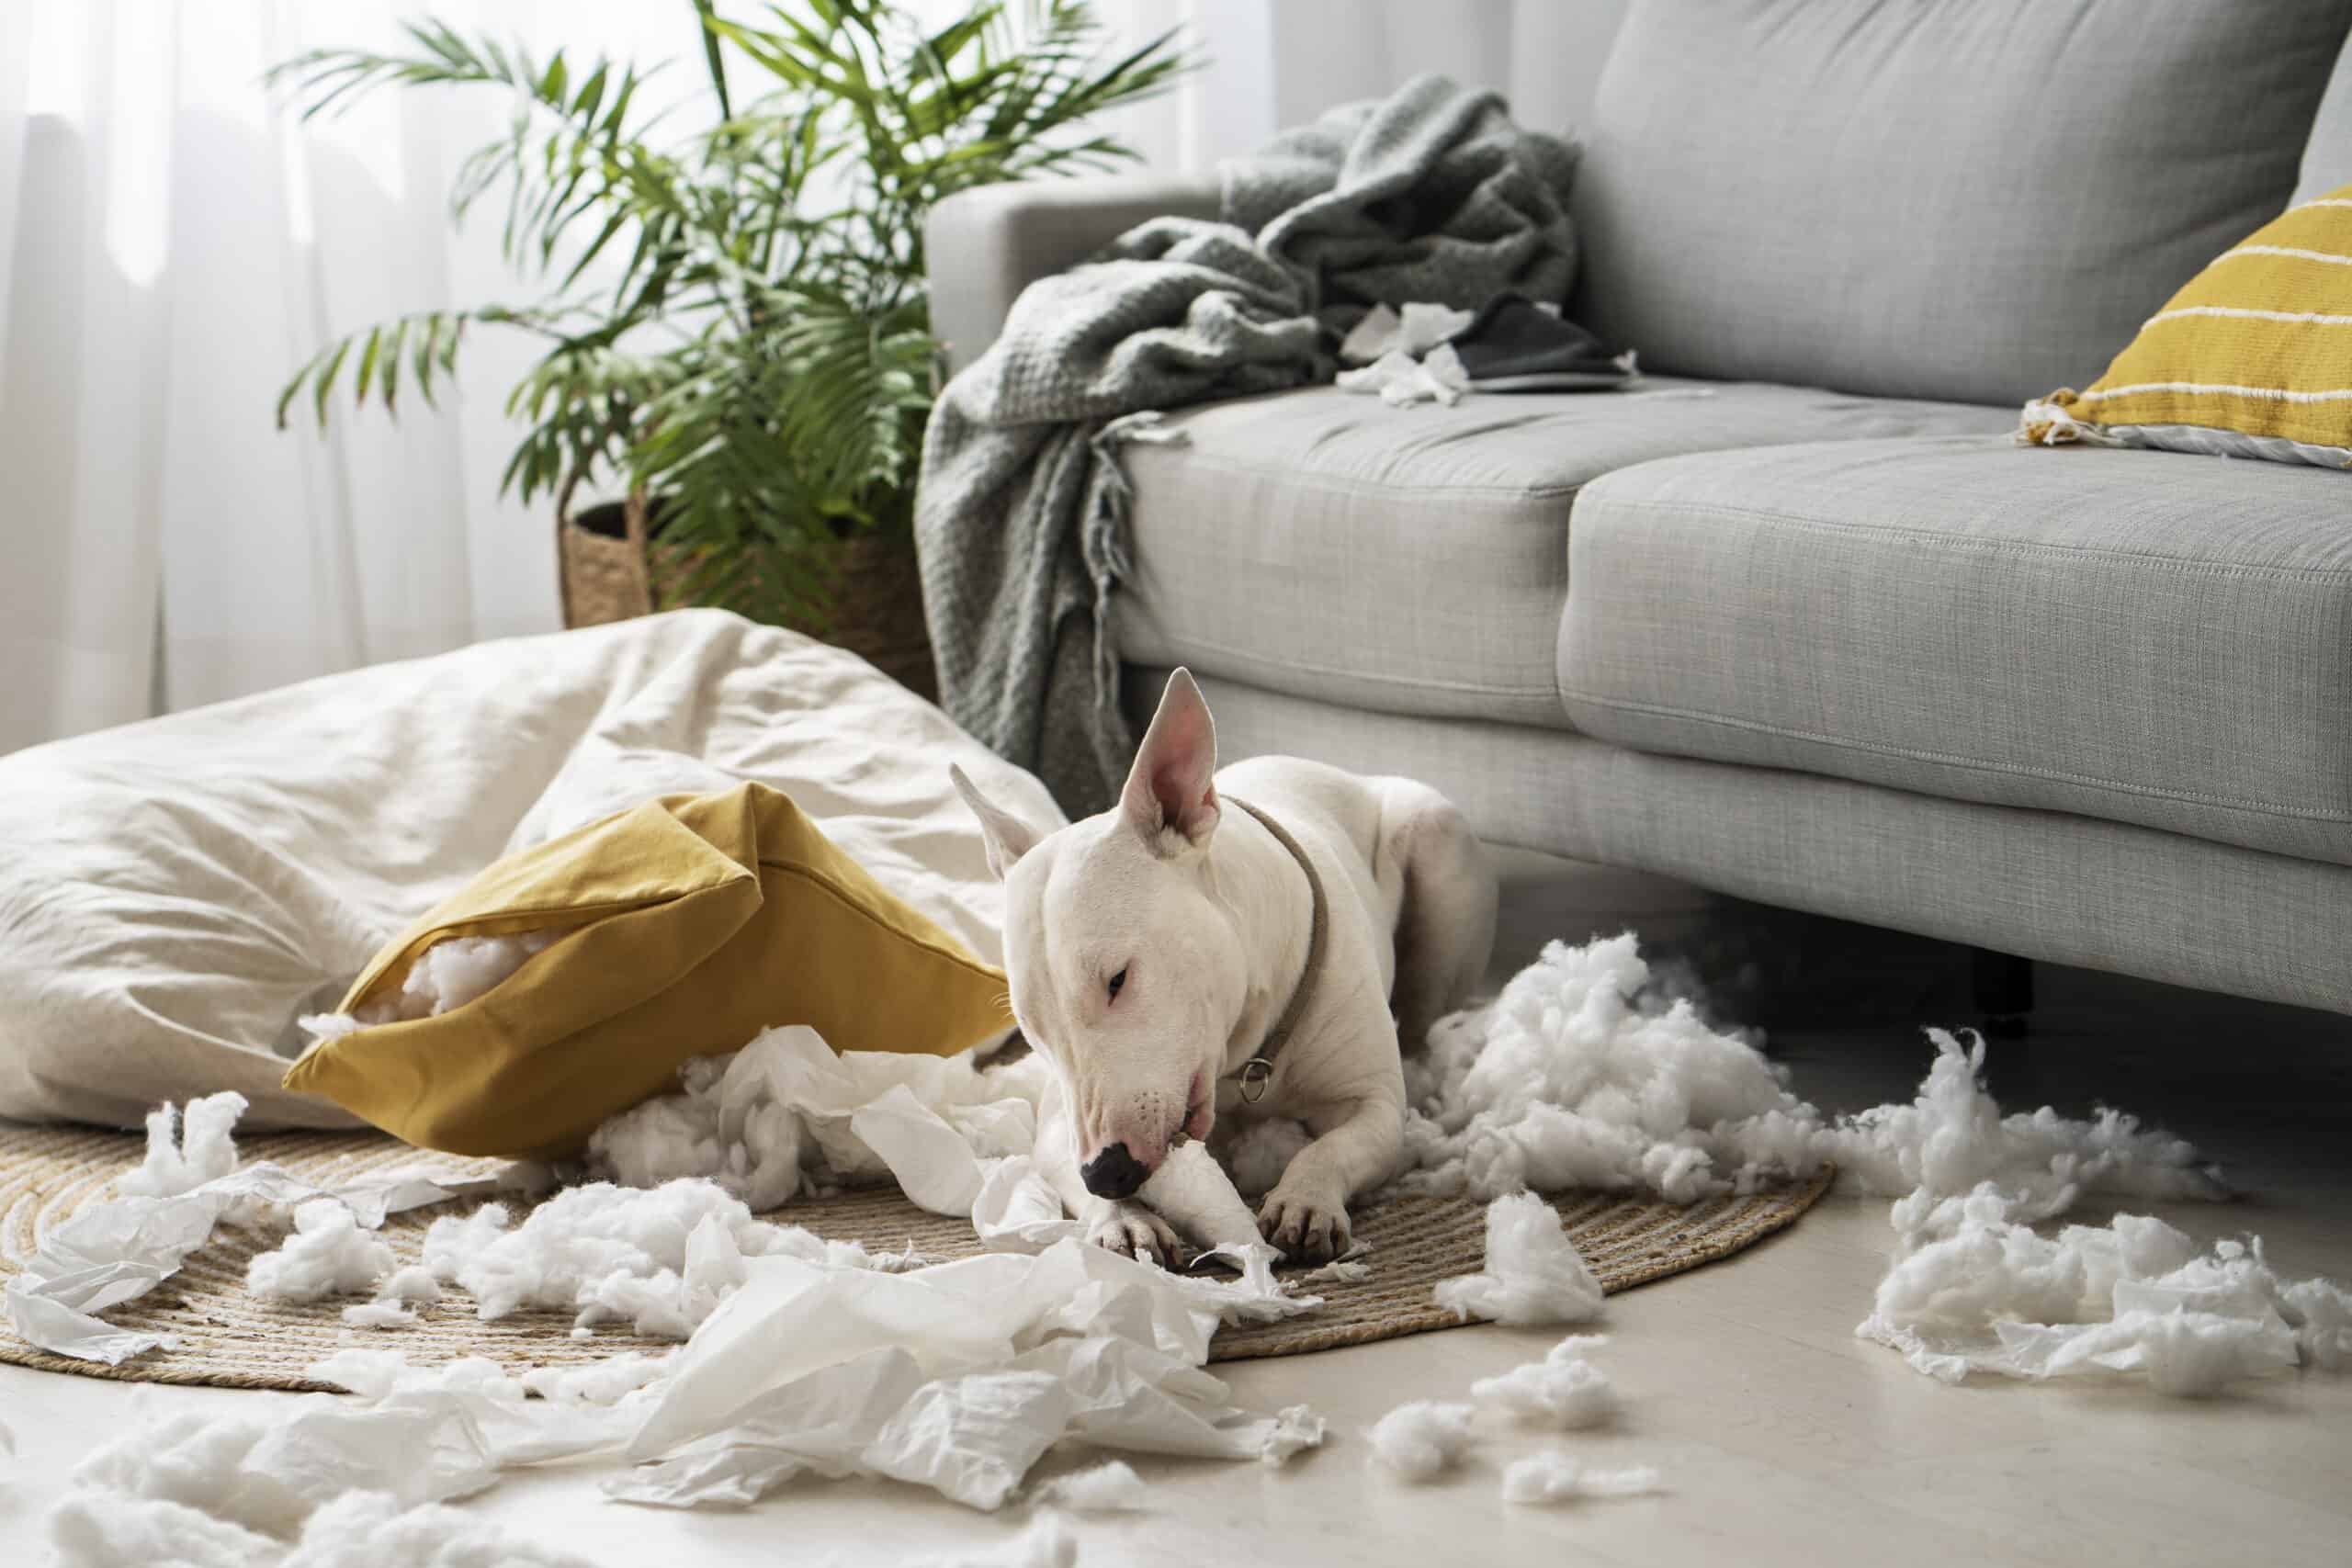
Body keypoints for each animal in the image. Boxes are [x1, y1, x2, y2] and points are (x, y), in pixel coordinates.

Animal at [950, 667, 1486, 1269]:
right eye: (1031, 1027)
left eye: (1117, 980)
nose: (1107, 1174)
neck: (1247, 1056)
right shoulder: (1060, 1126)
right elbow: (1060, 1156)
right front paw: (1124, 1220)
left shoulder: (1375, 1103)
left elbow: (1337, 1145)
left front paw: (1305, 1203)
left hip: (1435, 834)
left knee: (1421, 1020)